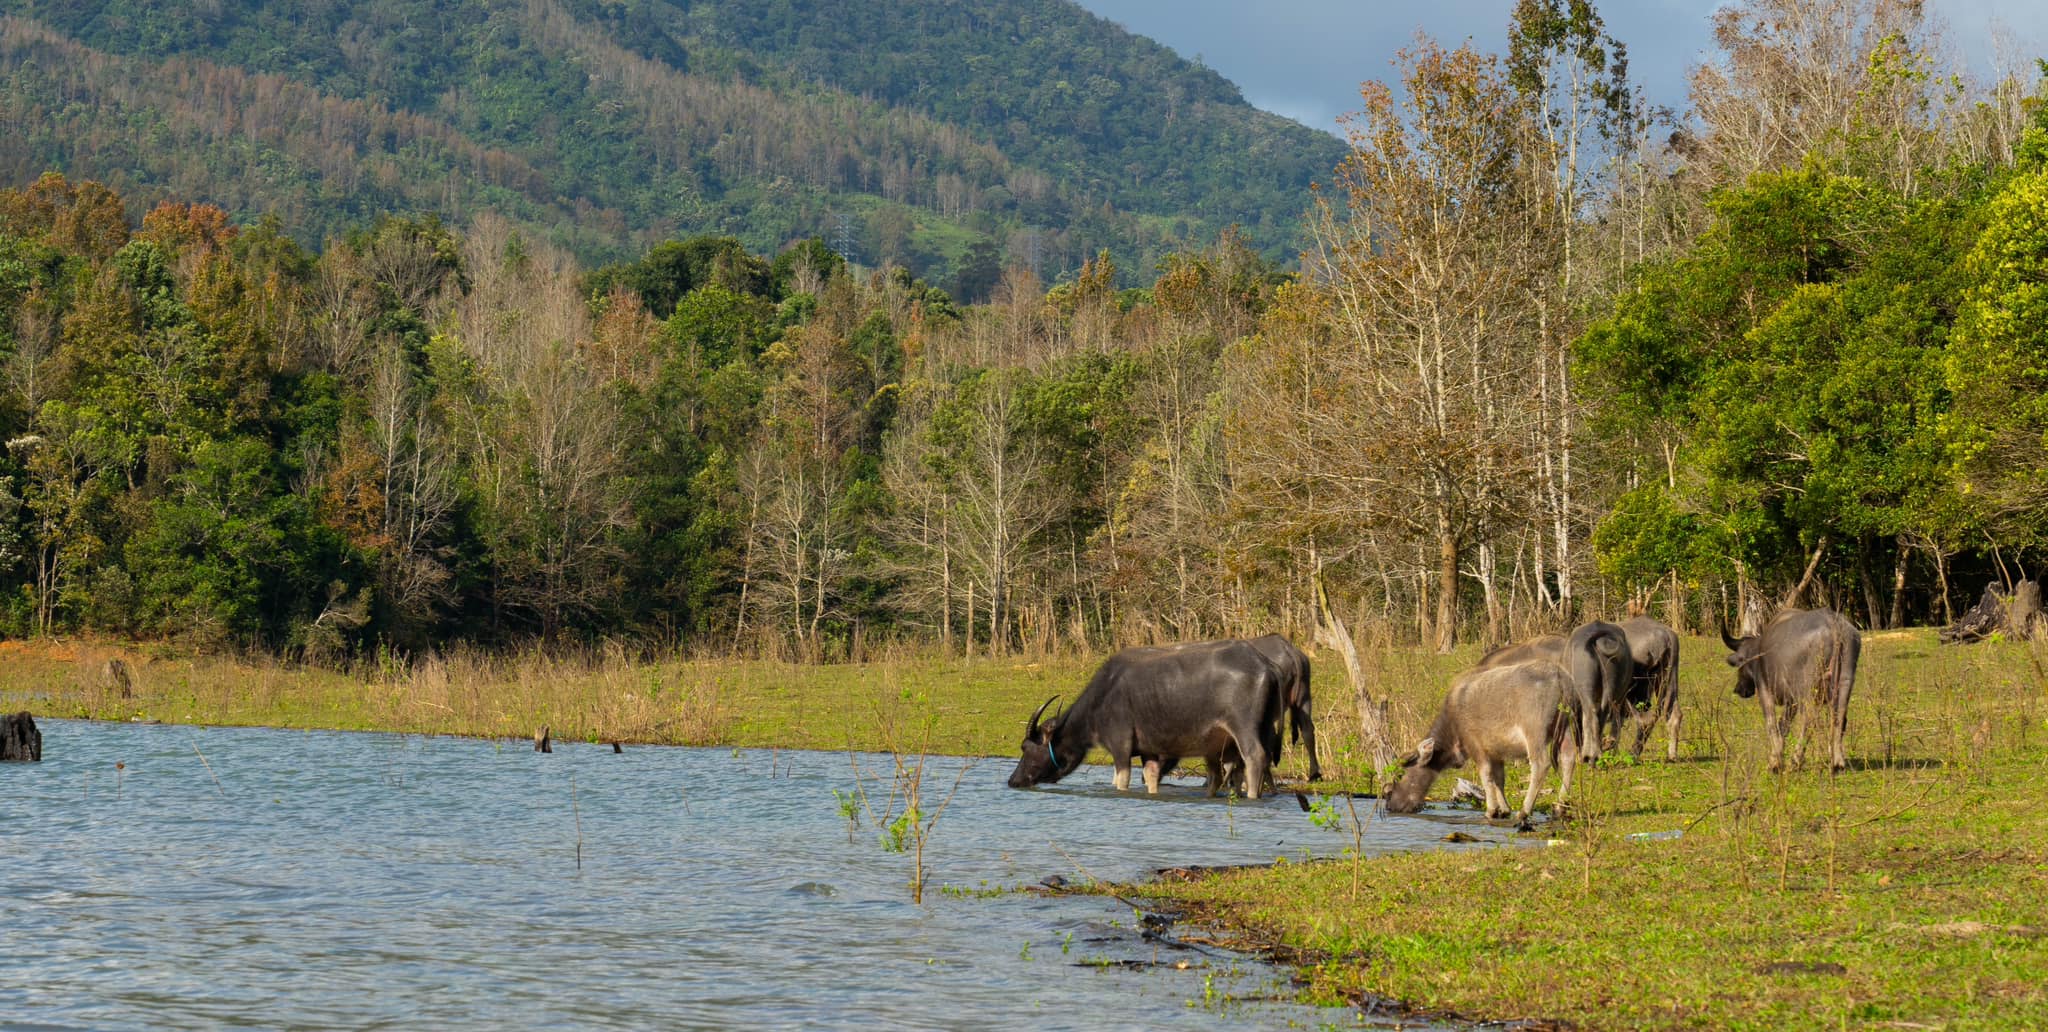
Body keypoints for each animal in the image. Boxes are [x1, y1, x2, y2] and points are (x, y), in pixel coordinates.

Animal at [1007, 638, 1277, 798]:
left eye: (1026, 748)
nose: (1013, 781)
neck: (1103, 698)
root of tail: (1264, 664)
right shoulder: (1149, 751)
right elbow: (1151, 776)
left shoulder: (1121, 746)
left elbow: (1121, 780)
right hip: (1263, 728)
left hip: (1244, 728)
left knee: (1254, 757)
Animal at [1392, 659, 1581, 823]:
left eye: (1401, 774)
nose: (1391, 804)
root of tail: (1560, 676)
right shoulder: (1495, 751)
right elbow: (1499, 778)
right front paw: (1504, 809)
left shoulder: (1475, 745)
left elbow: (1485, 774)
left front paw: (1491, 810)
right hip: (1566, 727)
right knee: (1569, 758)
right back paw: (1560, 807)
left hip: (1535, 732)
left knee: (1540, 764)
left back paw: (1524, 811)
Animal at [1613, 618, 1679, 761]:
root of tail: (1667, 633)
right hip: (1668, 679)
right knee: (1674, 715)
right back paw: (1672, 754)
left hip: (1638, 692)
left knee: (1644, 720)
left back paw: (1633, 754)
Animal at [1720, 610, 1867, 769]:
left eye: (1741, 664)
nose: (1738, 689)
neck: (1760, 654)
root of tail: (1834, 624)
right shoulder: (1791, 701)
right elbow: (1783, 725)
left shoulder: (1765, 690)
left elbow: (1772, 723)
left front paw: (1775, 761)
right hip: (1845, 682)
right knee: (1840, 717)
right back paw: (1838, 761)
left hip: (1807, 689)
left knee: (1808, 719)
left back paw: (1796, 759)